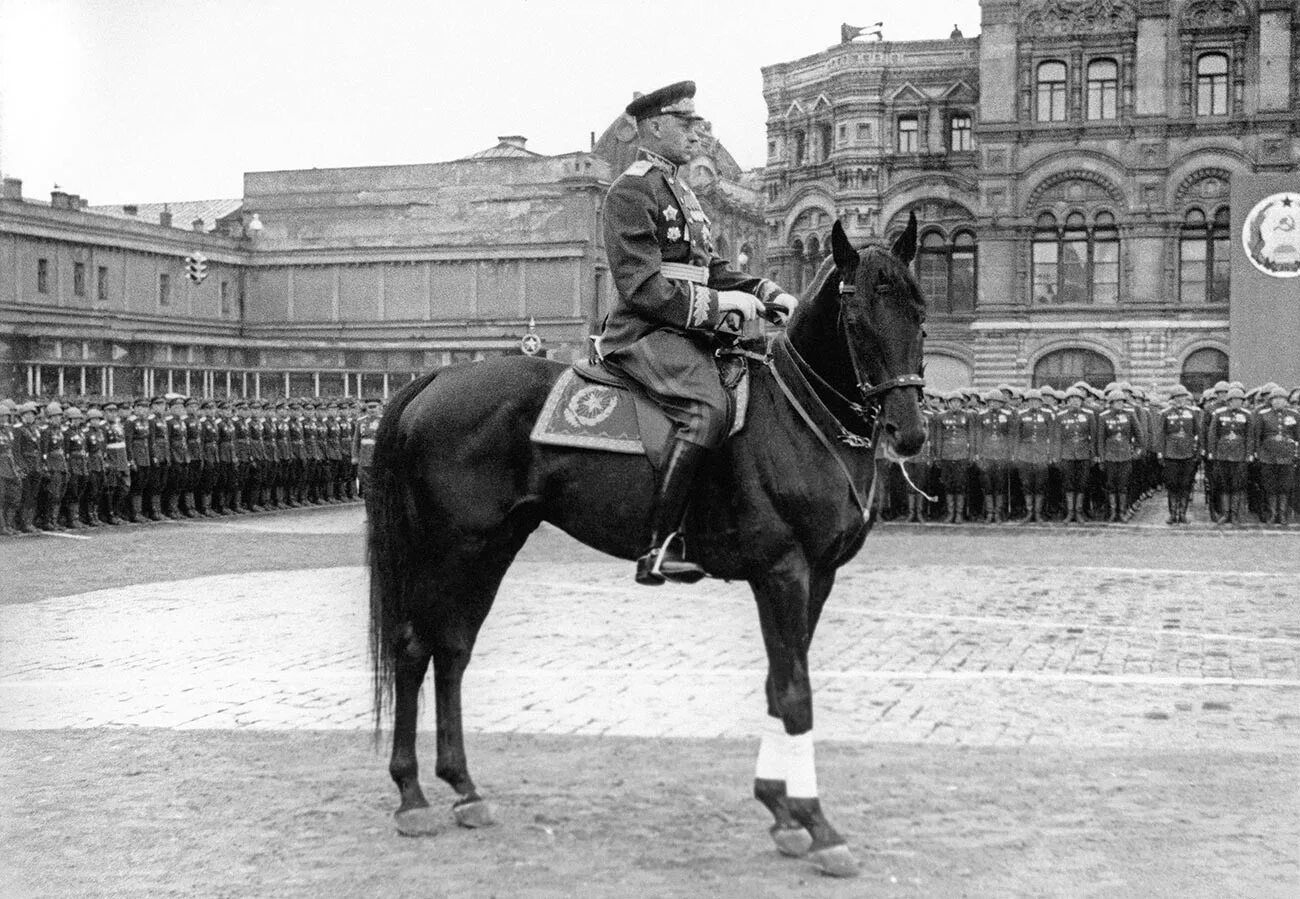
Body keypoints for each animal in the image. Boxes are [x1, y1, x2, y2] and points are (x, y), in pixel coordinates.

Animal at [369, 215, 925, 878]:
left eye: (920, 312)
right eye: (857, 318)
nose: (909, 433)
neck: (798, 418)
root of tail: (435, 378)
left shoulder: (818, 575)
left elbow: (779, 683)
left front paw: (781, 809)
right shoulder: (783, 573)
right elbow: (796, 695)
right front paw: (816, 824)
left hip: (492, 546)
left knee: (452, 650)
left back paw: (463, 788)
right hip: (447, 547)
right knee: (413, 648)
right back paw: (410, 796)